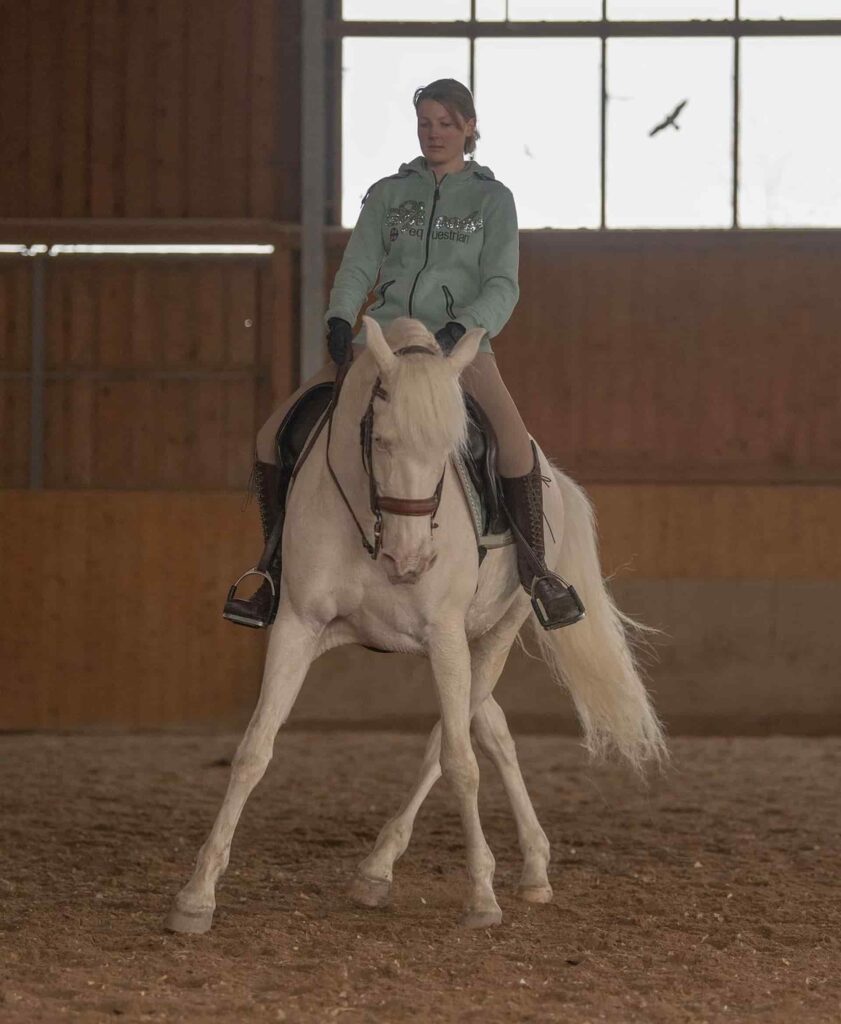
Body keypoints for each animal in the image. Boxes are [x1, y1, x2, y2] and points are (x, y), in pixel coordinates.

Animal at [163, 317, 663, 937]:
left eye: (454, 449)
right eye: (380, 441)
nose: (411, 560)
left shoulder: (444, 636)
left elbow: (457, 761)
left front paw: (481, 898)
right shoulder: (298, 626)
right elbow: (255, 749)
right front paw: (196, 896)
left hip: (496, 631)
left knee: (453, 736)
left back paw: (390, 867)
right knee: (490, 728)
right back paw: (527, 867)